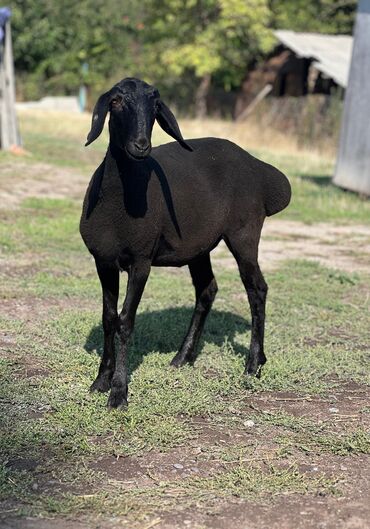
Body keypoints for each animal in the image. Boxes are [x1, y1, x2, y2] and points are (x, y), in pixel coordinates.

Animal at [79, 78, 290, 408]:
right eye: (116, 101)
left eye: (155, 106)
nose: (141, 146)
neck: (119, 196)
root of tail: (258, 166)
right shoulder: (104, 260)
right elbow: (108, 318)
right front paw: (100, 381)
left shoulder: (141, 260)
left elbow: (126, 321)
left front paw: (118, 393)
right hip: (198, 245)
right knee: (207, 289)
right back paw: (183, 357)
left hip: (244, 232)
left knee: (257, 288)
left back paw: (253, 365)